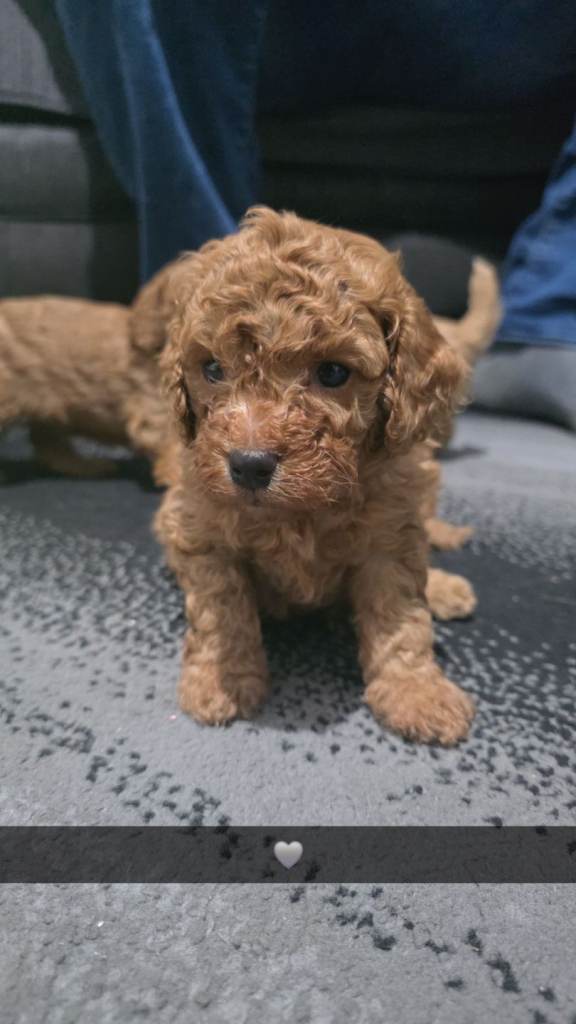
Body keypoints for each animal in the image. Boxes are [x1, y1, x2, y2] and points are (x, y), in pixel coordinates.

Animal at [130, 206, 494, 743]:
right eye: (212, 368)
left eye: (333, 374)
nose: (249, 464)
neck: (300, 510)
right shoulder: (201, 530)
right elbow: (221, 612)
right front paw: (222, 681)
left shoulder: (390, 536)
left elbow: (401, 618)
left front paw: (416, 693)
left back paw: (445, 588)